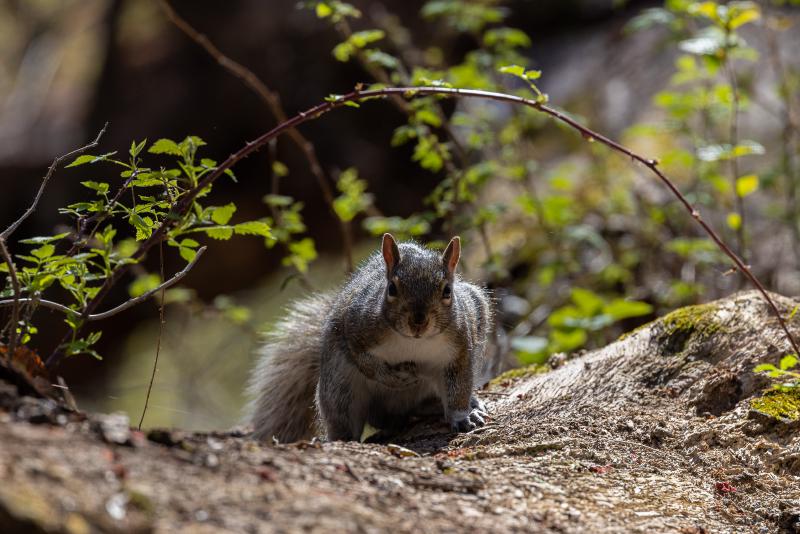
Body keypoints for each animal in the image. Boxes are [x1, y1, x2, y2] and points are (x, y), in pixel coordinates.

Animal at [247, 234, 490, 444]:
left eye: (447, 291)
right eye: (391, 288)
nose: (418, 322)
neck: (414, 342)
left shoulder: (459, 350)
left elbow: (458, 388)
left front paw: (462, 416)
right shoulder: (353, 330)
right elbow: (366, 363)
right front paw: (395, 378)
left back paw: (455, 405)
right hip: (340, 389)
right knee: (351, 419)